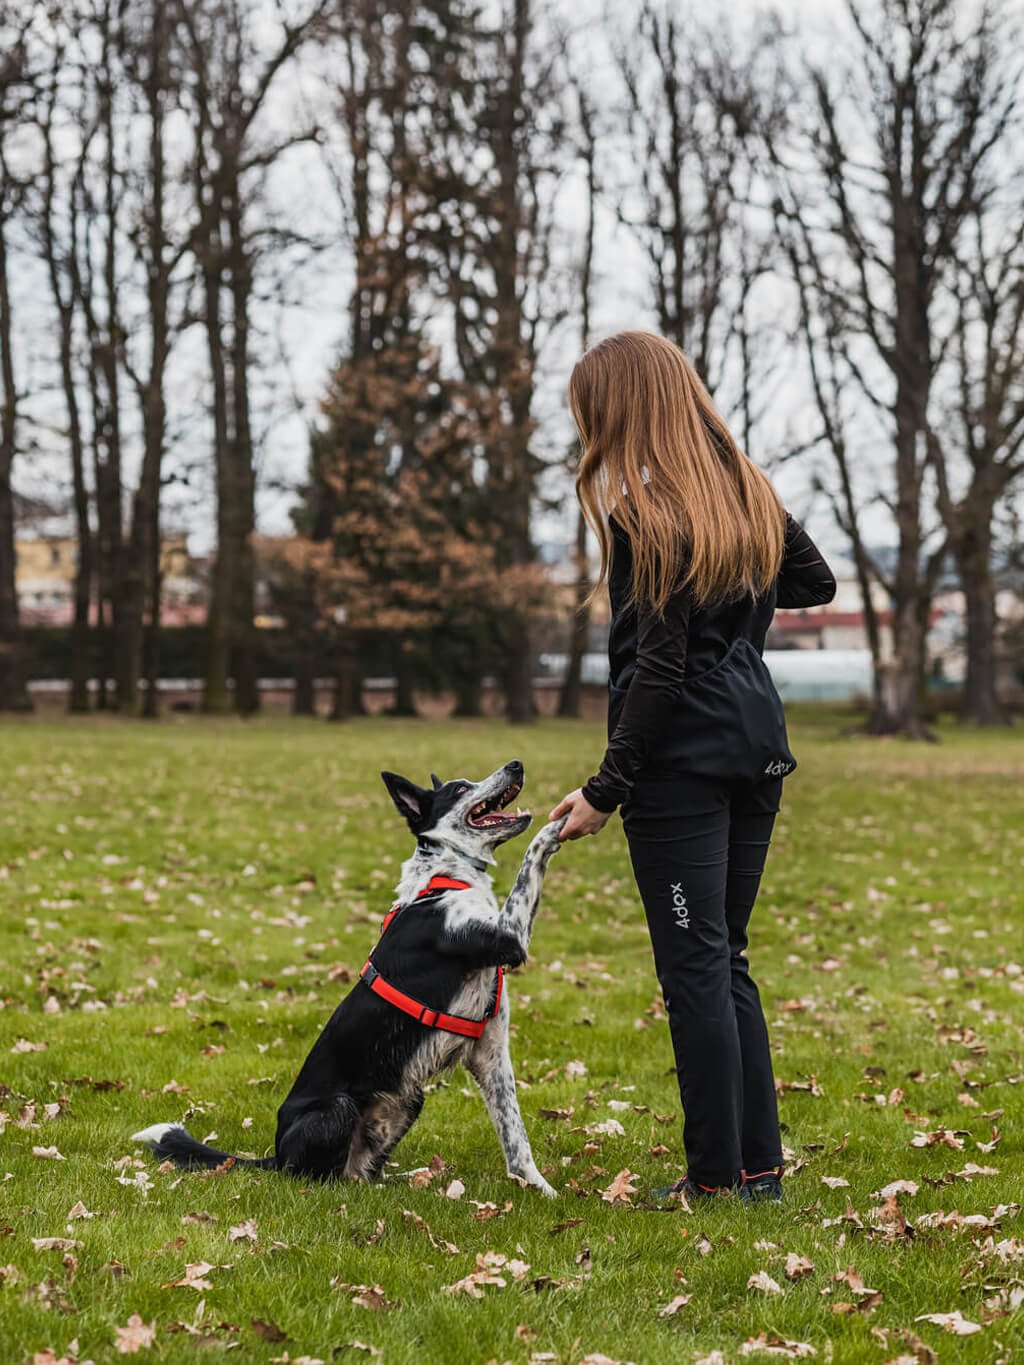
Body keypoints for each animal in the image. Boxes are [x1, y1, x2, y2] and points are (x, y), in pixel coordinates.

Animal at [131, 764, 565, 1201]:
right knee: (316, 1177)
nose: (515, 765)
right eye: (461, 788)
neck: (445, 877)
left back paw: (409, 1179)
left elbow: (516, 1139)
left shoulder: (489, 1053)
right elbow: (529, 864)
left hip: (408, 1099)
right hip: (338, 1109)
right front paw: (556, 826)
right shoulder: (508, 936)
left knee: (362, 1173)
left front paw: (541, 1192)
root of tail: (276, 1155)